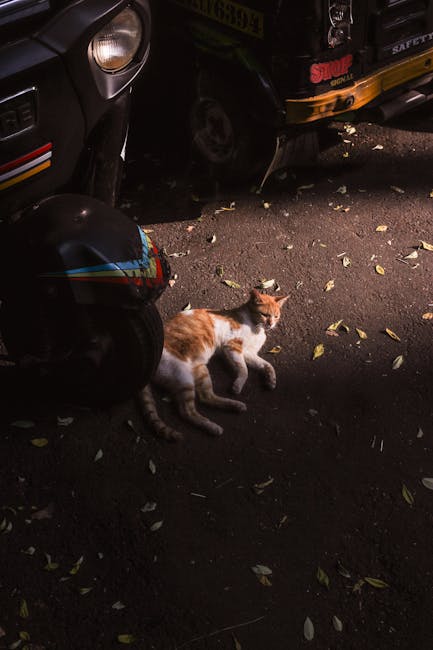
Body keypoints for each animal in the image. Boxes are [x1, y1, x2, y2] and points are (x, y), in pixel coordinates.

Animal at [138, 288, 286, 440]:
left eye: (276, 316)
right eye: (265, 315)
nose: (270, 324)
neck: (255, 327)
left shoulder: (248, 353)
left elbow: (267, 365)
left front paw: (271, 381)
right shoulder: (232, 347)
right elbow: (244, 370)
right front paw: (237, 386)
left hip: (200, 370)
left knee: (206, 397)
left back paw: (235, 406)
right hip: (183, 377)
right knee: (187, 411)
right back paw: (213, 427)